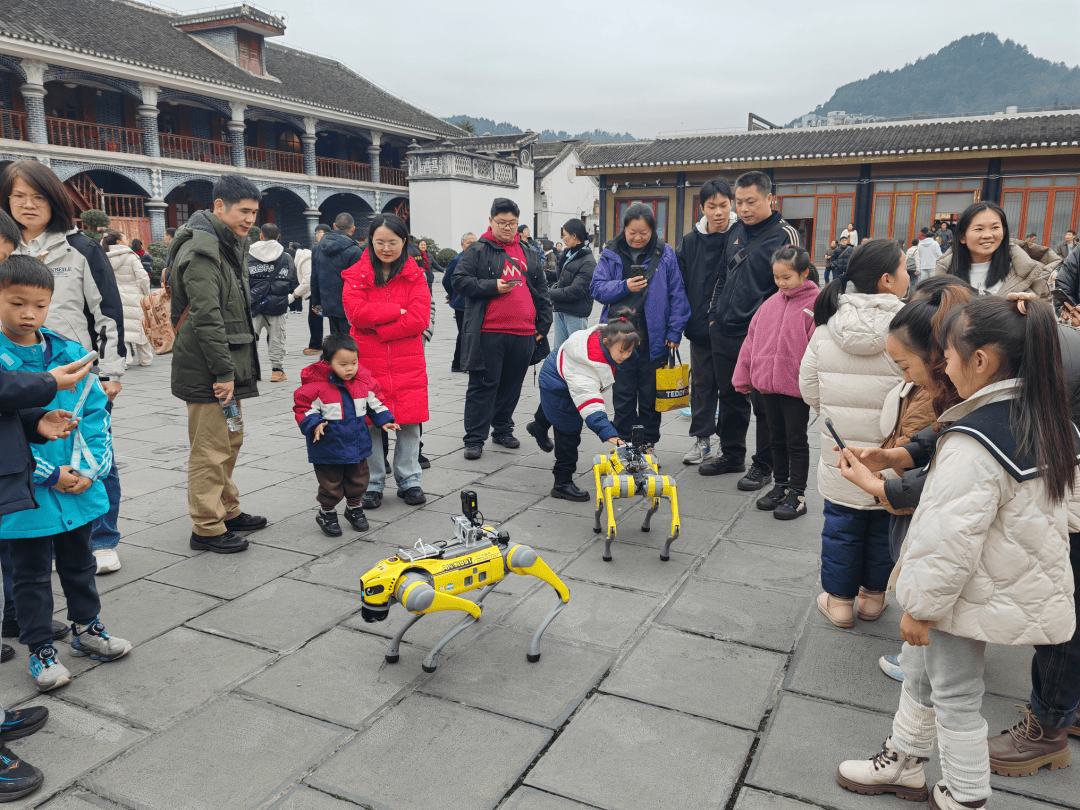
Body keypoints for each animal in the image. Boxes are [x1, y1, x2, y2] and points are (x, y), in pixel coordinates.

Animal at [358, 494, 570, 673]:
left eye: (372, 590)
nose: (369, 617)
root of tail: (502, 540)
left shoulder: (420, 594)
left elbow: (469, 609)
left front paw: (429, 662)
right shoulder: (428, 595)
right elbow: (460, 608)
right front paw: (393, 652)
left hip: (519, 557)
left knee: (551, 581)